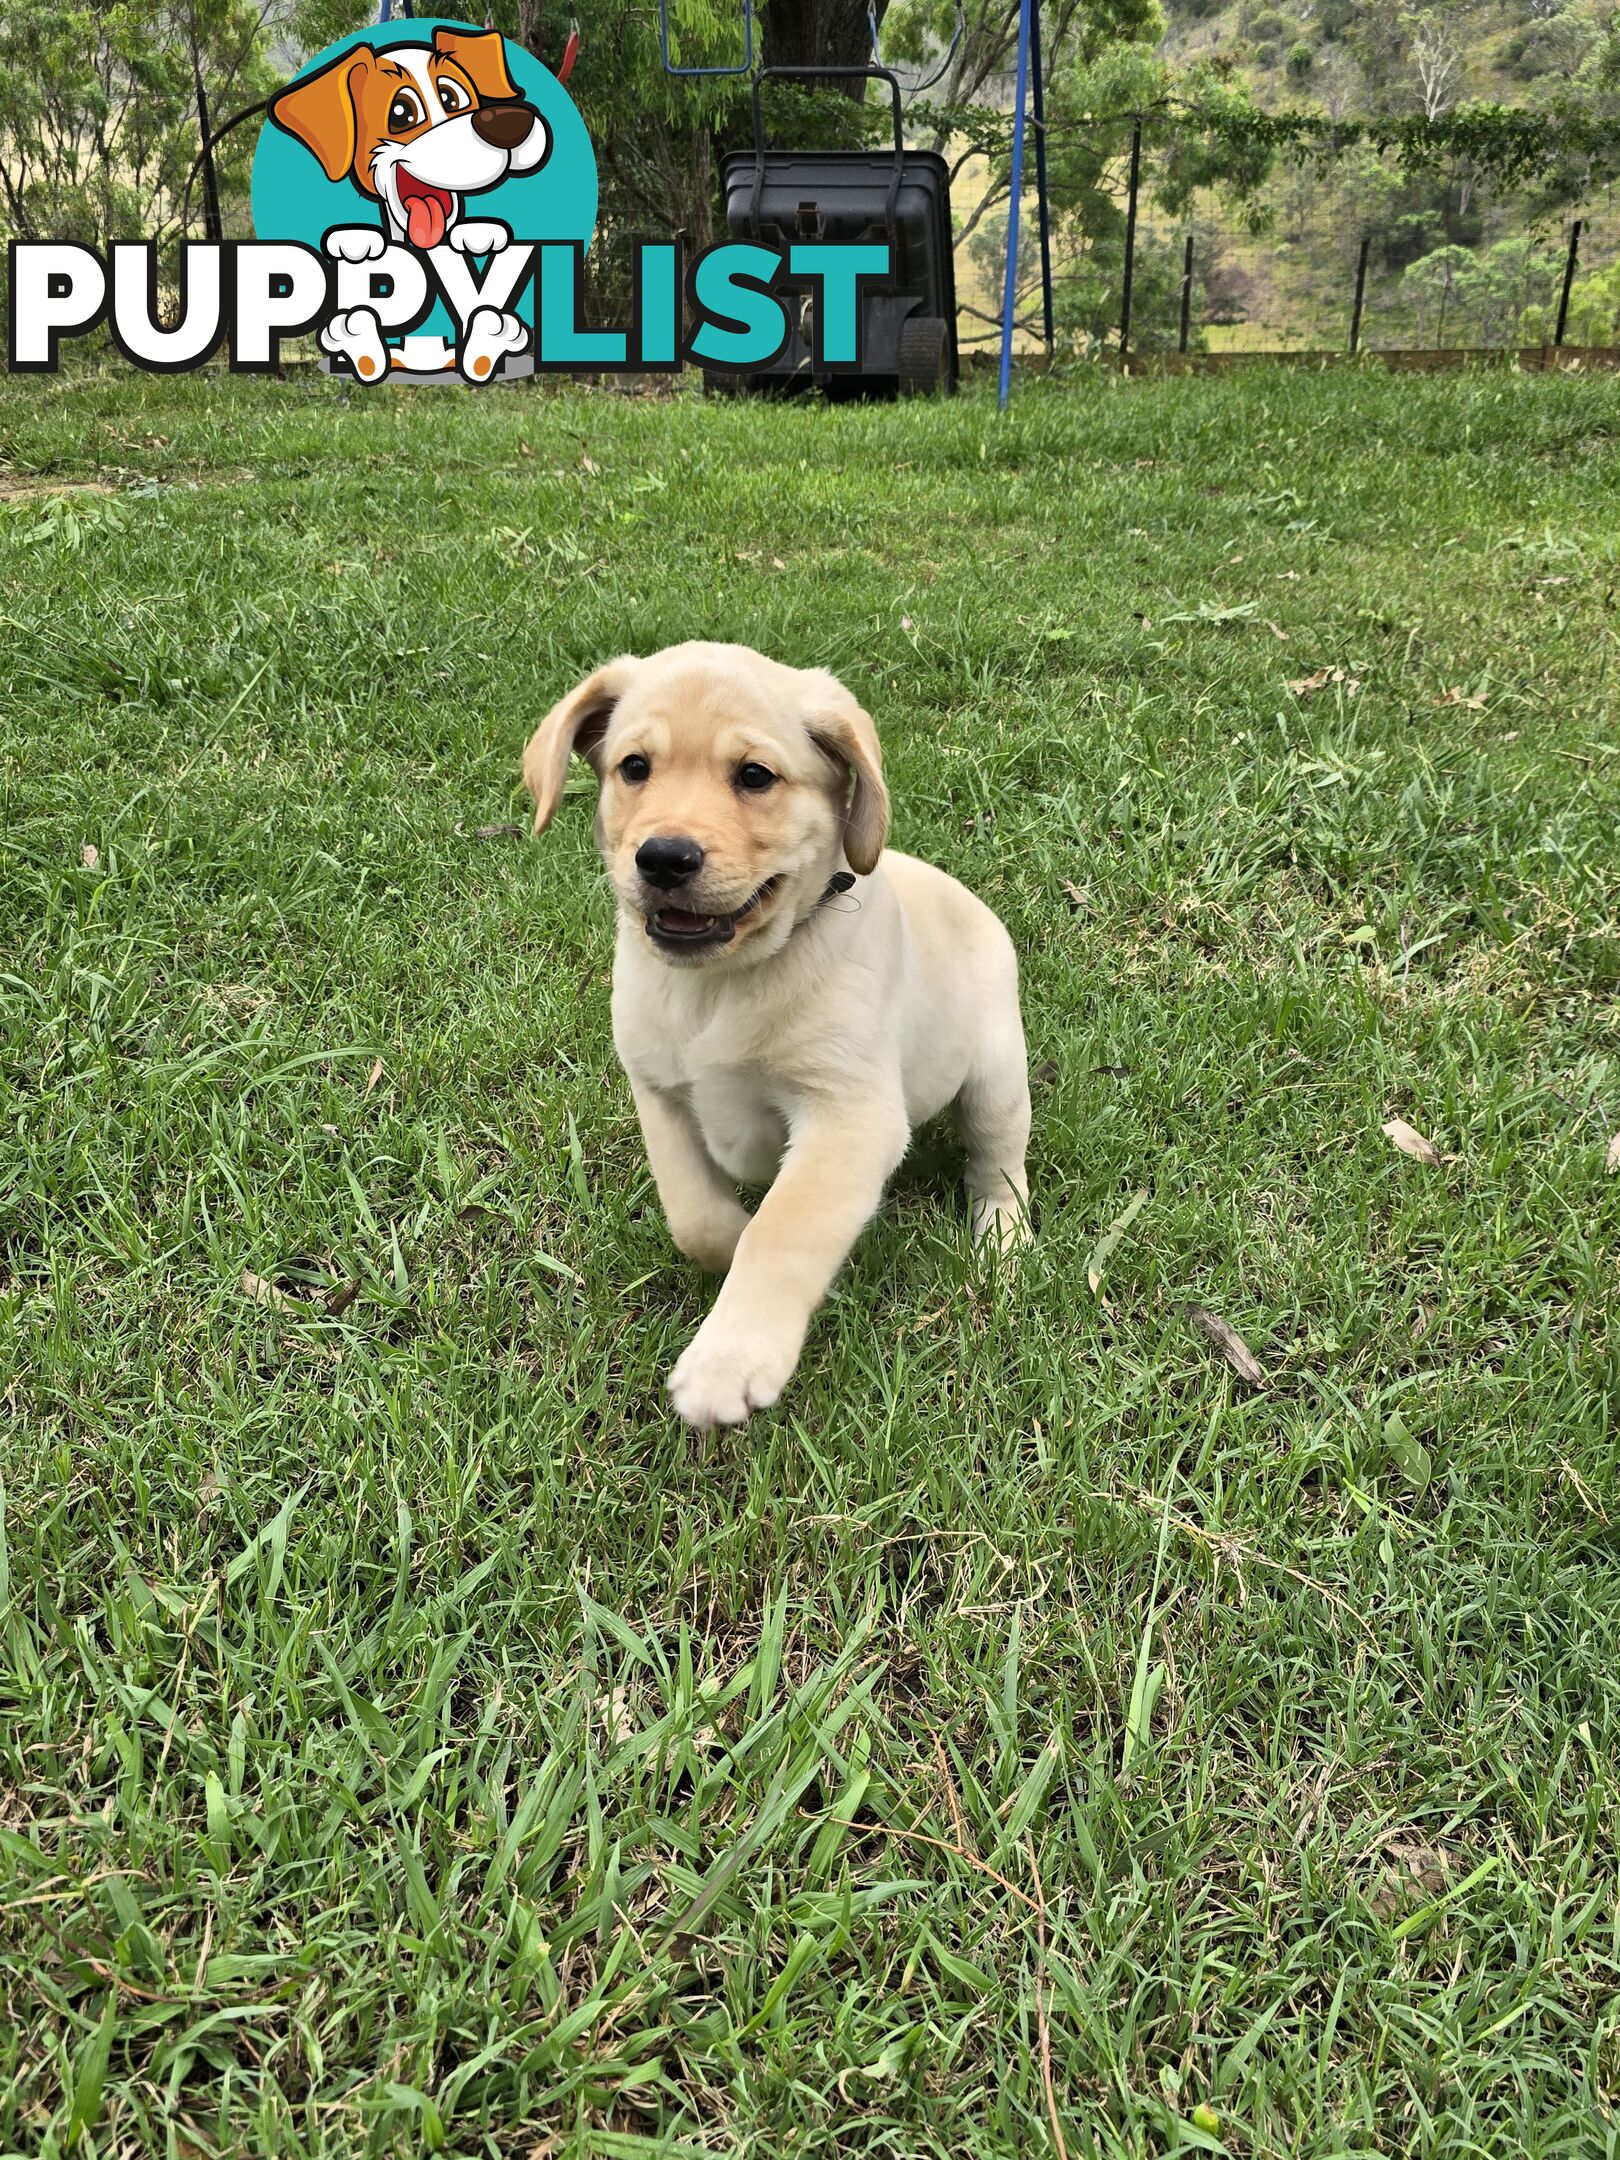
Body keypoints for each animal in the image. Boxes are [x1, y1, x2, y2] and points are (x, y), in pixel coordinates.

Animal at [527, 635, 1032, 1434]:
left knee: (998, 1165)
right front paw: (729, 1244)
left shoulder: (849, 1113)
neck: (721, 983)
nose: (664, 858)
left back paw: (1003, 1246)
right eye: (634, 768)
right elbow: (695, 1215)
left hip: (996, 1076)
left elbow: (786, 1227)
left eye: (755, 776)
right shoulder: (660, 1093)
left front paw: (730, 1358)